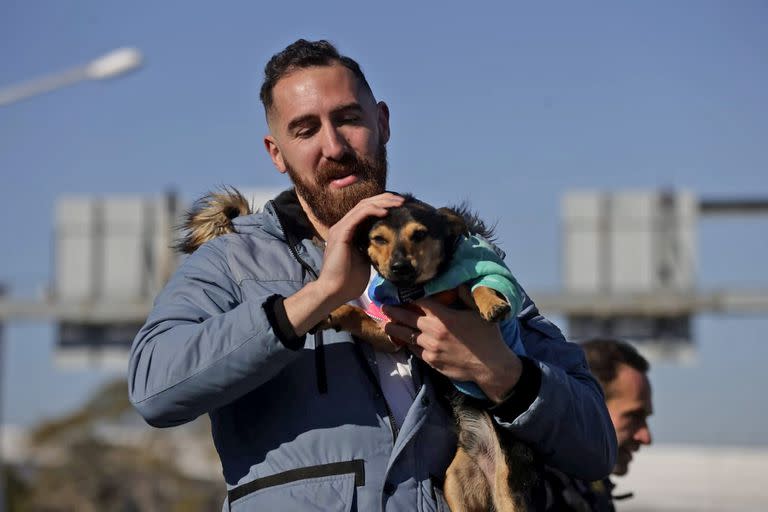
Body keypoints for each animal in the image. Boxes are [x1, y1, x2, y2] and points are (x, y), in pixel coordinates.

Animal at [179, 188, 536, 512]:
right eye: (378, 239)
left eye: (420, 234)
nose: (399, 266)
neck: (419, 291)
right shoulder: (395, 333)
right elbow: (359, 315)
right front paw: (332, 312)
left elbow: (475, 286)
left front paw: (492, 303)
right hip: (456, 485)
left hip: (511, 491)